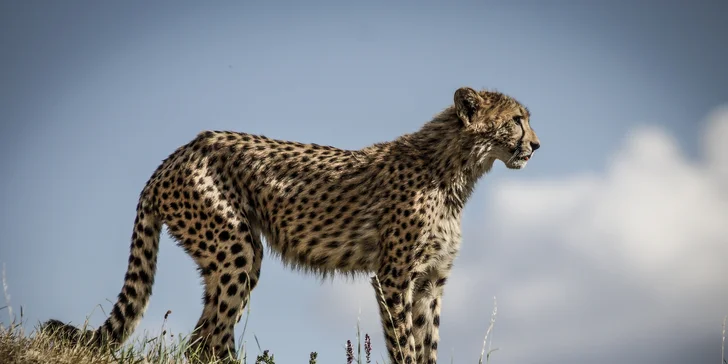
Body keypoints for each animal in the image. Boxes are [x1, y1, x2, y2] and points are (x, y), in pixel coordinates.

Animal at [41, 86, 540, 362]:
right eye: (517, 120)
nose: (536, 145)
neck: (454, 169)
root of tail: (177, 153)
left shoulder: (432, 279)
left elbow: (426, 343)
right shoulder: (395, 275)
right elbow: (405, 344)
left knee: (204, 338)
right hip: (236, 246)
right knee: (208, 339)